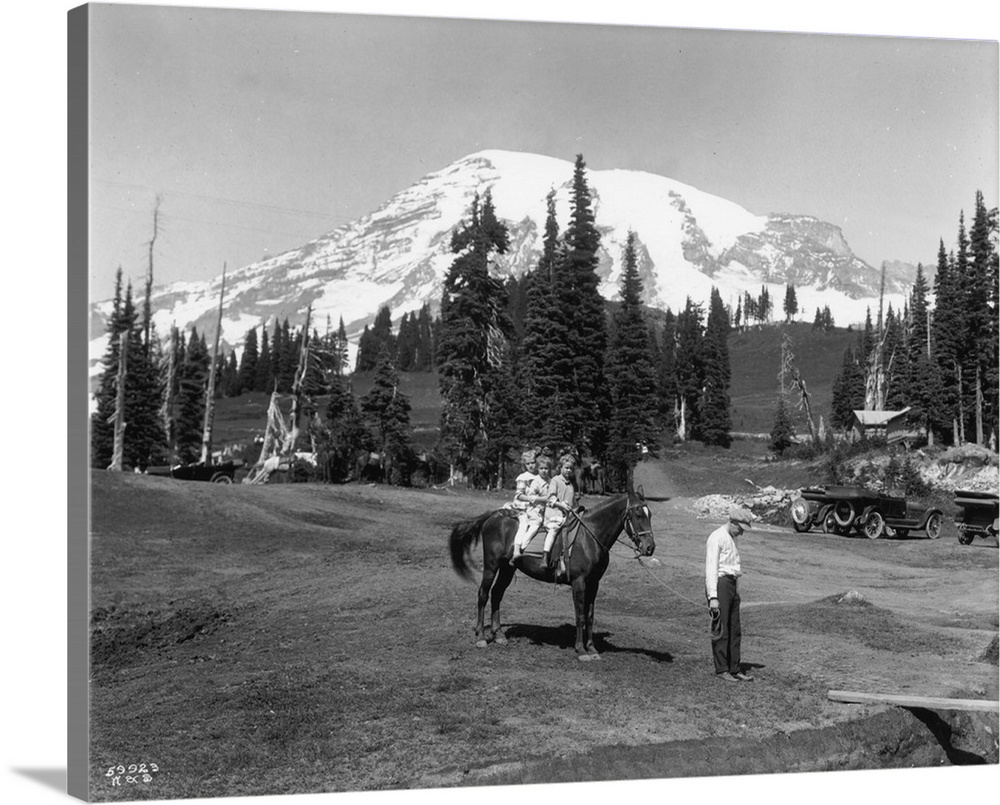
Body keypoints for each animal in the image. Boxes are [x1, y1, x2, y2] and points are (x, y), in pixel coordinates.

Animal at [448, 490, 652, 660]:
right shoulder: (579, 582)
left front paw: (592, 648)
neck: (589, 537)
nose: (650, 547)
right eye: (638, 515)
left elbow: (590, 616)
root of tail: (493, 516)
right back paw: (481, 637)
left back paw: (498, 635)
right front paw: (581, 650)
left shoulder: (594, 583)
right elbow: (580, 615)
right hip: (491, 566)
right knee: (483, 595)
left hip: (507, 568)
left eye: (650, 514)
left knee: (497, 594)